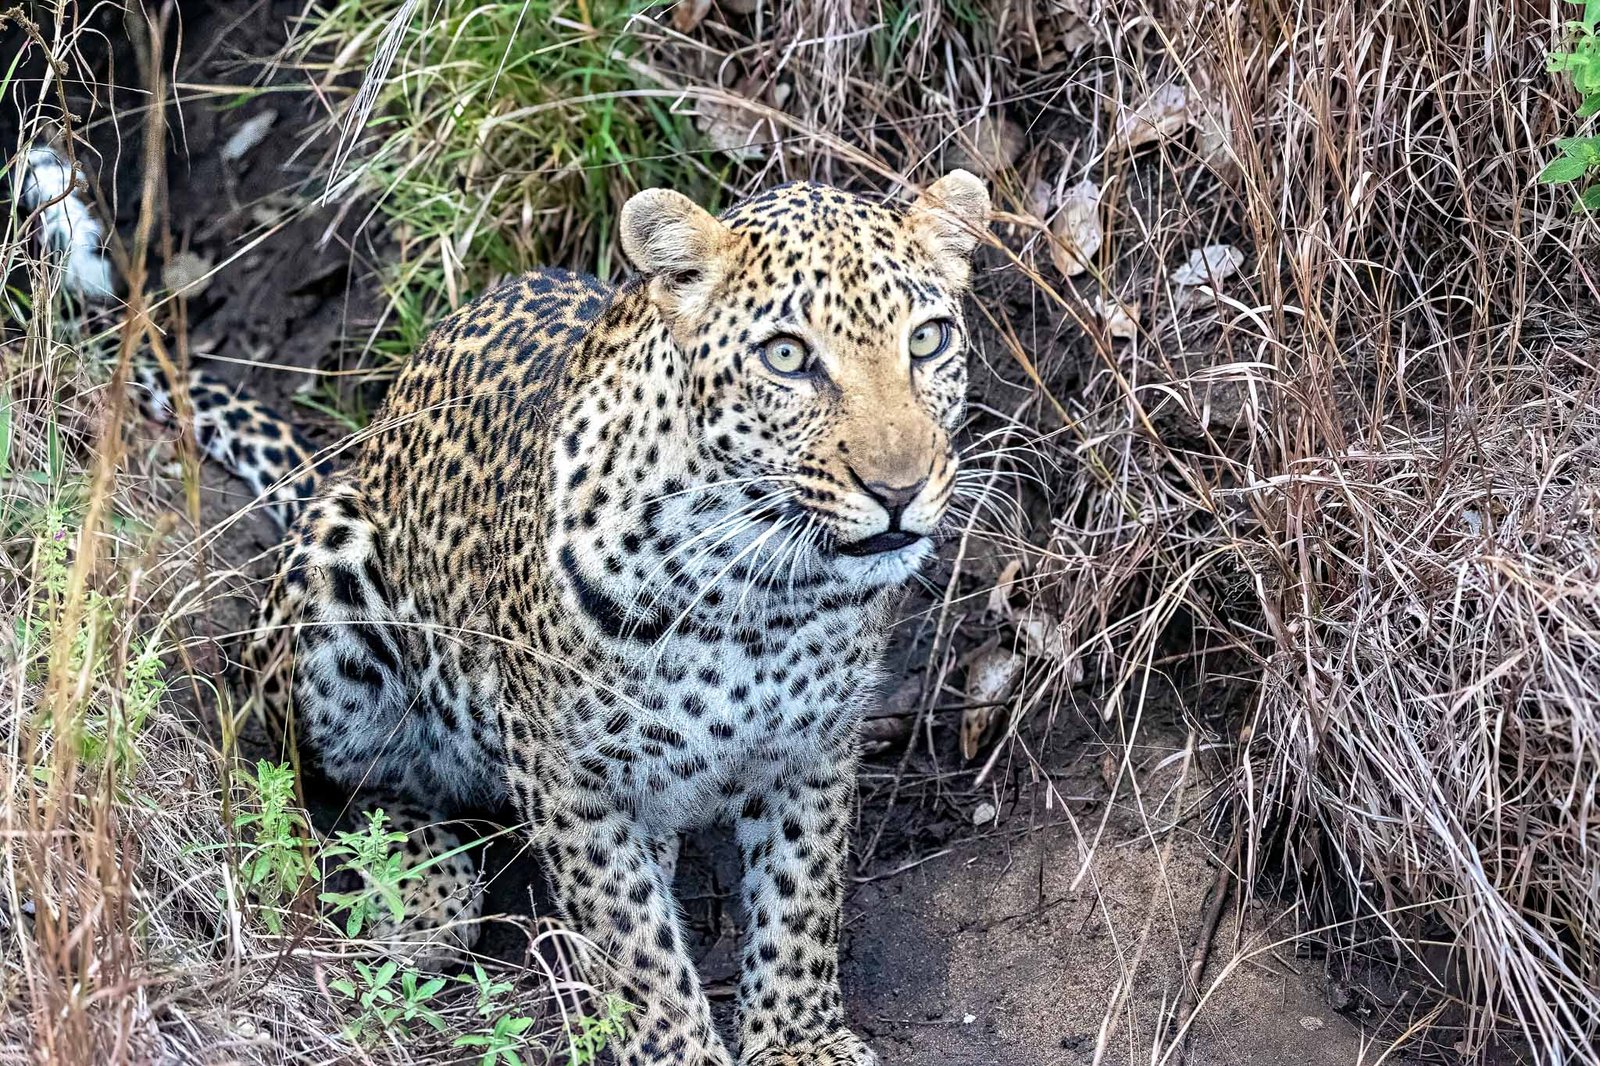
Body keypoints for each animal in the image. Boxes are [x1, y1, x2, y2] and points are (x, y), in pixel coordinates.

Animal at [140, 170, 991, 1065]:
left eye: (928, 340)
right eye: (786, 356)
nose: (898, 489)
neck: (770, 599)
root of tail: (355, 457)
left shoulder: (814, 754)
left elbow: (802, 900)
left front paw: (799, 1040)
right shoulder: (572, 781)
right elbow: (635, 945)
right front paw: (681, 1052)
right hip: (333, 584)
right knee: (355, 777)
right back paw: (422, 891)